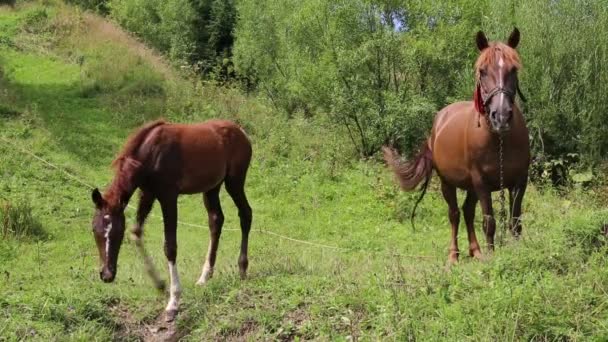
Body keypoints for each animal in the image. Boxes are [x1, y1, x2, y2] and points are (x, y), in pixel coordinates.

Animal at [90, 118, 252, 320]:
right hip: (212, 187)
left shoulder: (168, 197)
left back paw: (242, 268)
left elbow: (170, 247)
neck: (150, 153)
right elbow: (136, 233)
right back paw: (204, 277)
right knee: (216, 221)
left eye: (117, 232)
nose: (107, 275)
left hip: (234, 181)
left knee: (245, 214)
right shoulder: (148, 194)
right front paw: (160, 284)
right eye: (94, 229)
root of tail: (241, 132)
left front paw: (173, 302)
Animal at [388, 28, 528, 264]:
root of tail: (439, 120)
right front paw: (492, 259)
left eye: (514, 69)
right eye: (482, 71)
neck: (499, 141)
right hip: (449, 182)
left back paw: (476, 251)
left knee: (468, 211)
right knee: (454, 214)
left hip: (470, 186)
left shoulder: (519, 182)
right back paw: (453, 256)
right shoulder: (482, 183)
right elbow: (489, 222)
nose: (501, 116)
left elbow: (515, 222)